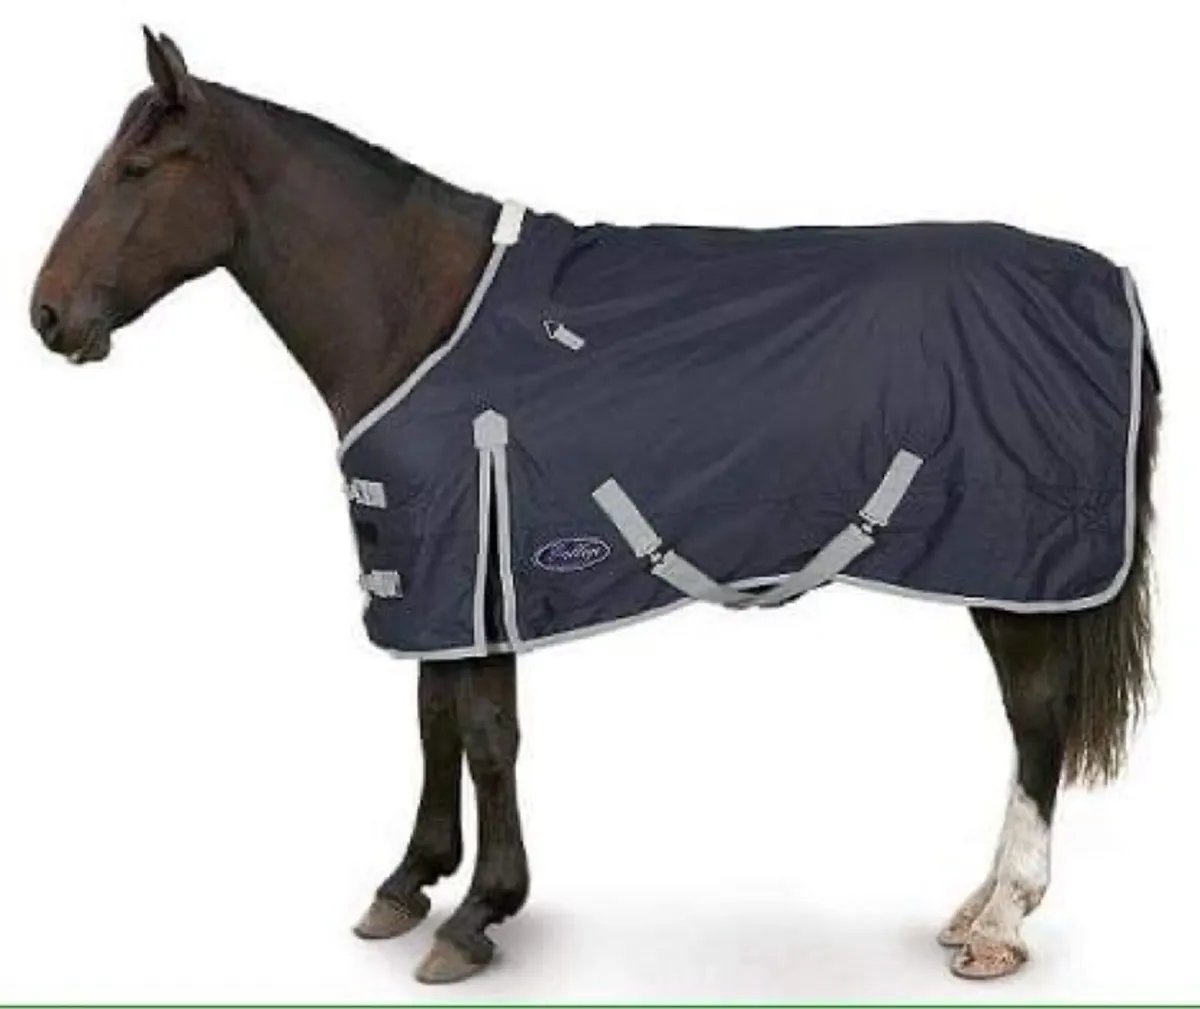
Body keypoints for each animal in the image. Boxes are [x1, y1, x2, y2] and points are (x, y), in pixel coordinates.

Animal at [30, 30, 1159, 985]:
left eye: (137, 171)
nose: (48, 316)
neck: (418, 309)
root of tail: (1109, 280)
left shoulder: (478, 558)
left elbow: (486, 733)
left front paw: (479, 912)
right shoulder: (436, 570)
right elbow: (434, 721)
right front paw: (409, 883)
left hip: (1014, 569)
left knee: (1035, 720)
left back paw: (1000, 921)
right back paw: (975, 907)